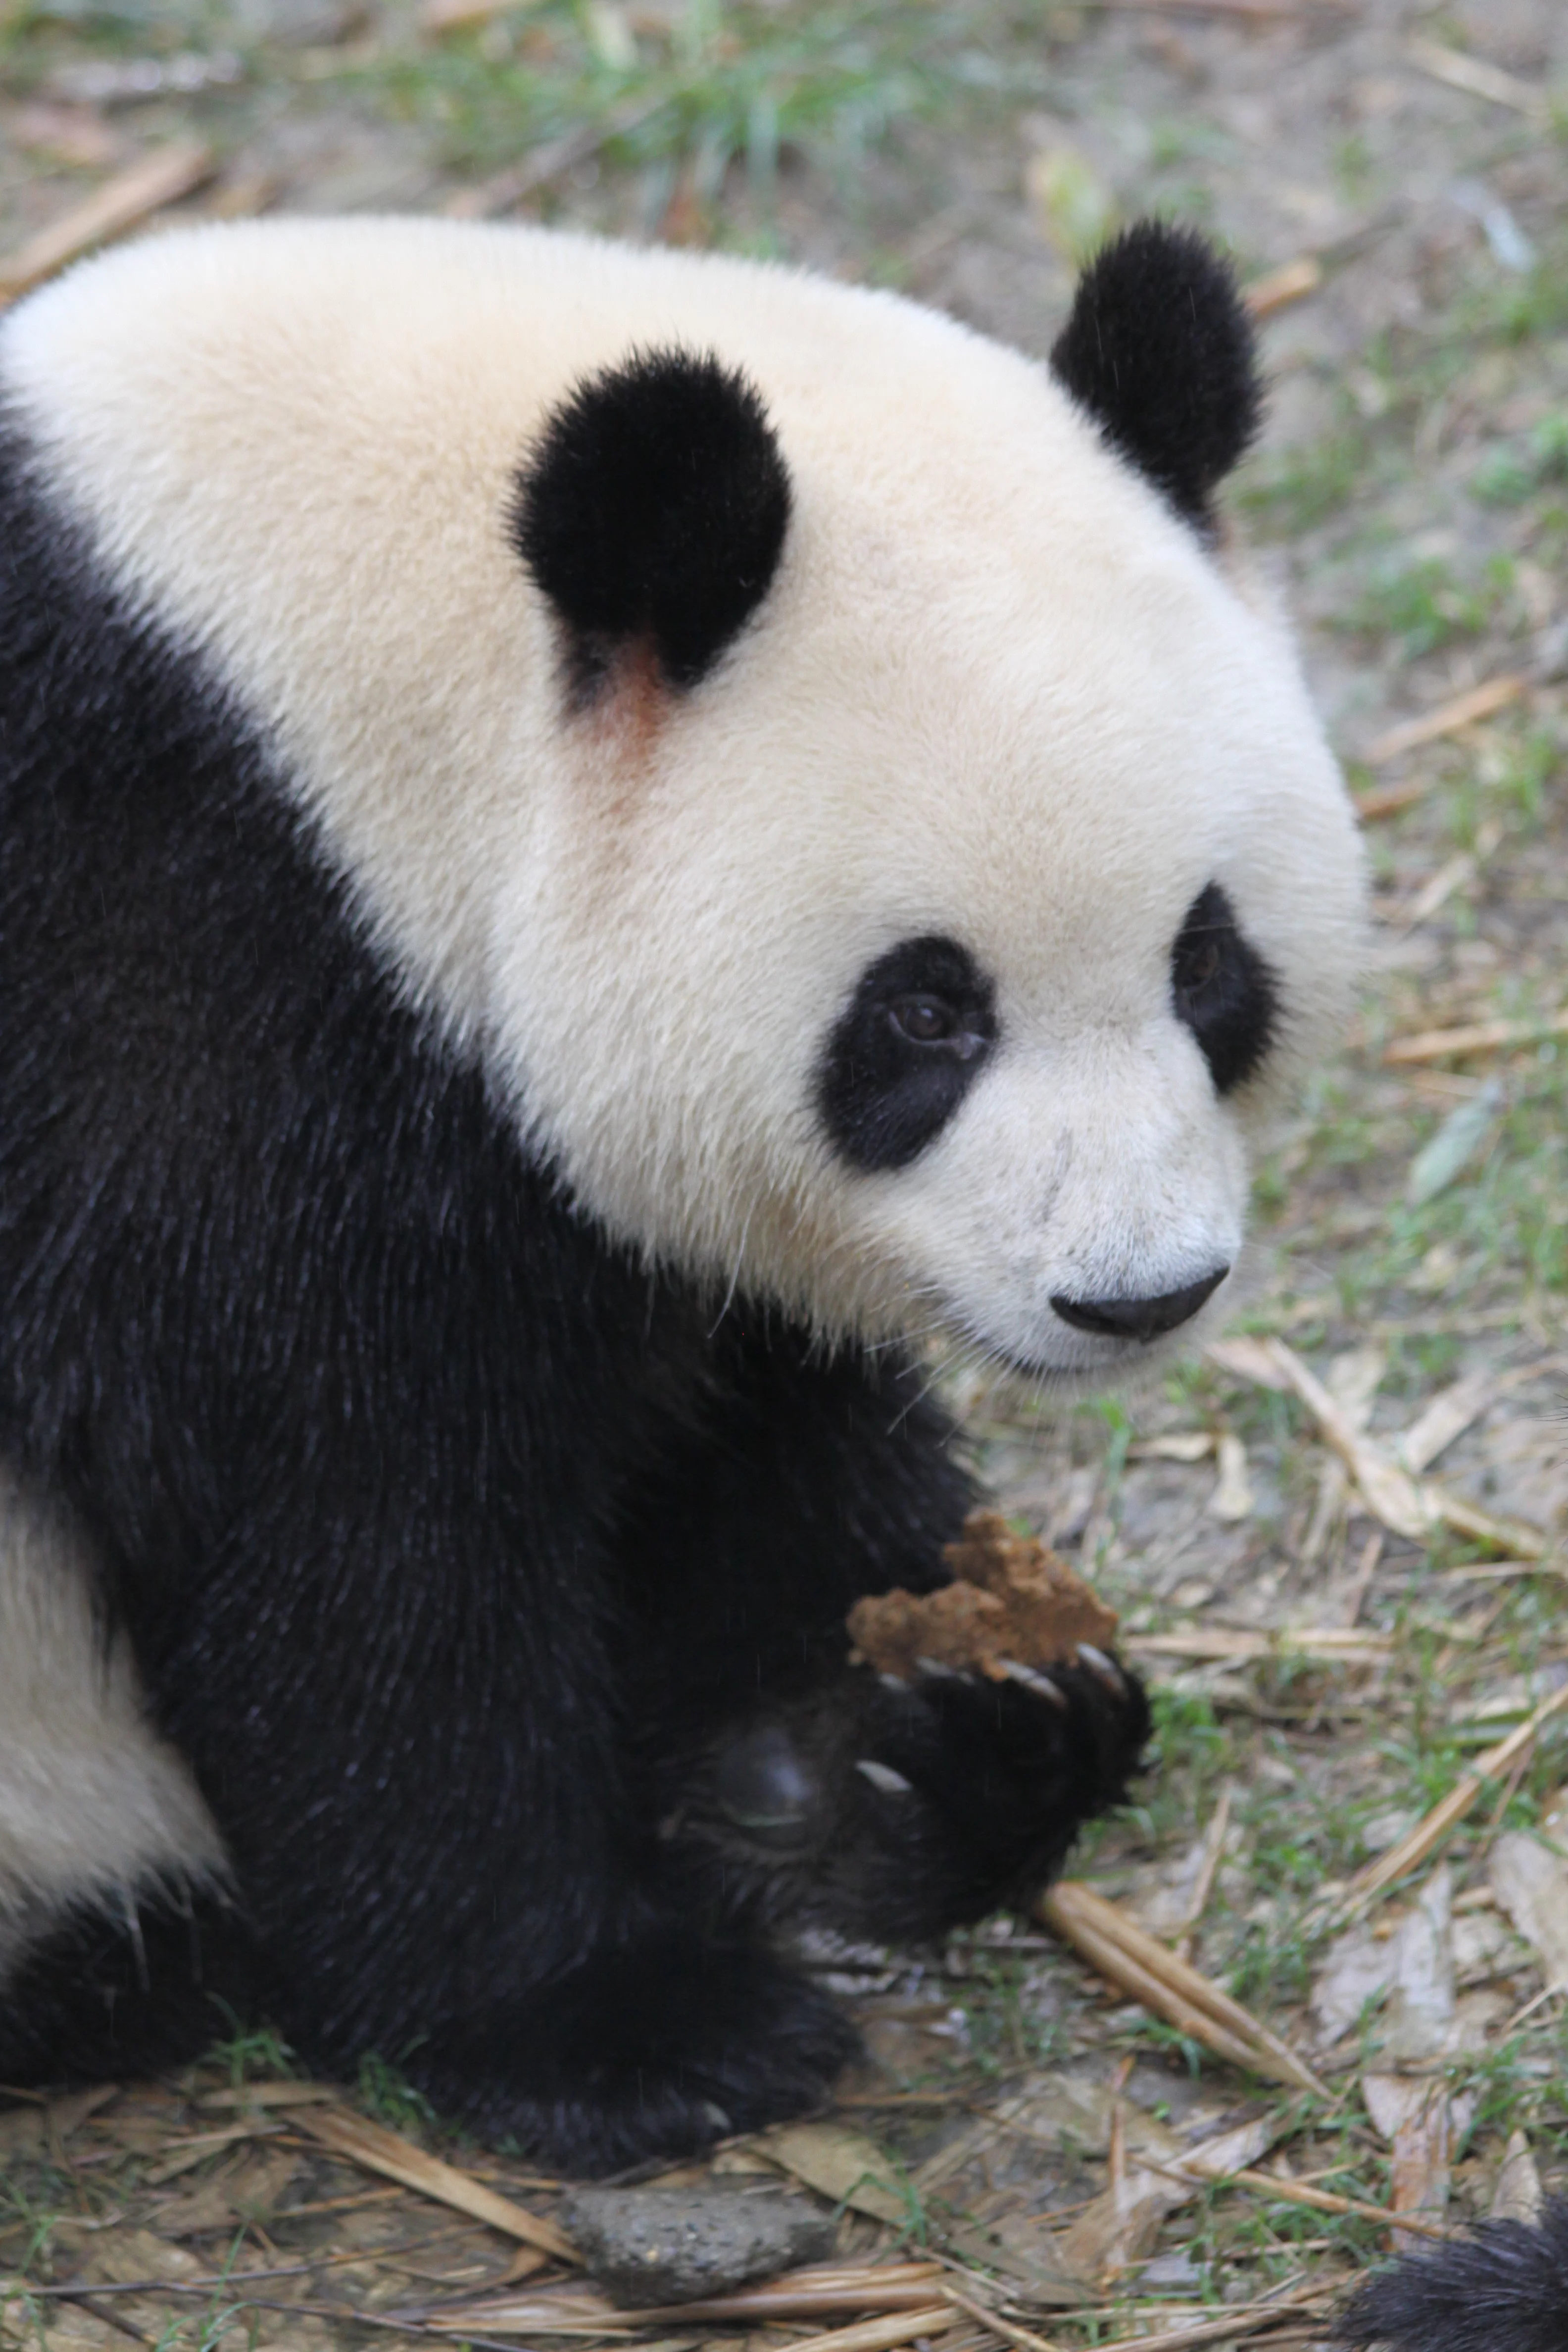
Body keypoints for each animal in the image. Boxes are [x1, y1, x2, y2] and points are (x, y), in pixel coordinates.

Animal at [0, 214, 1365, 2184]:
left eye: (1206, 962)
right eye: (926, 1011)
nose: (1138, 1294)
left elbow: (724, 1420)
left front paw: (909, 1748)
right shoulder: (184, 1005)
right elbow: (346, 1540)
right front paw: (623, 2029)